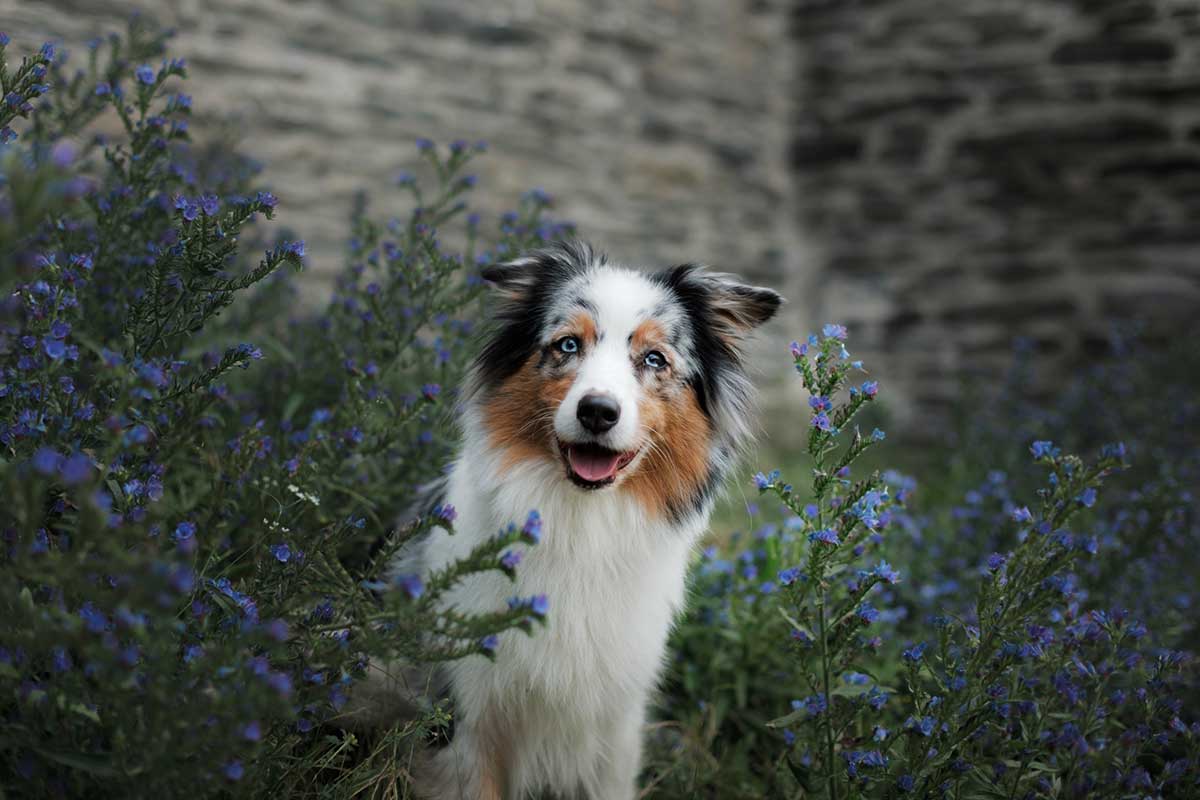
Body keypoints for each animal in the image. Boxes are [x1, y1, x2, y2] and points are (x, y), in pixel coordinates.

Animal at [367, 241, 777, 796]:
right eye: (567, 345)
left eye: (654, 358)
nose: (598, 411)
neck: (582, 523)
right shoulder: (466, 718)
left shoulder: (615, 725)